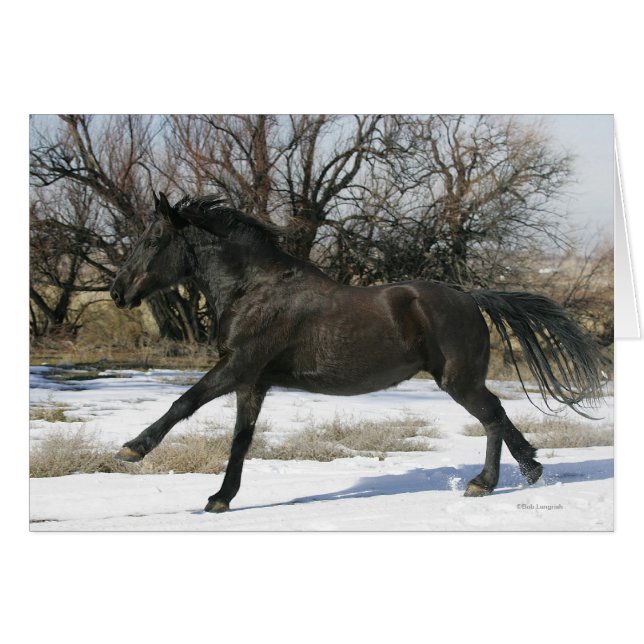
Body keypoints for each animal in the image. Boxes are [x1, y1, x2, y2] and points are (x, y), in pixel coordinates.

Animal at [110, 192, 607, 513]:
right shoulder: (254, 382)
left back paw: (484, 484)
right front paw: (220, 498)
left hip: (458, 381)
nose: (118, 292)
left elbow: (184, 403)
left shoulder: (237, 367)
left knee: (492, 419)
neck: (253, 288)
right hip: (464, 380)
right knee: (500, 417)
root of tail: (470, 297)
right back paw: (529, 471)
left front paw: (132, 449)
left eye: (152, 241)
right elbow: (240, 440)